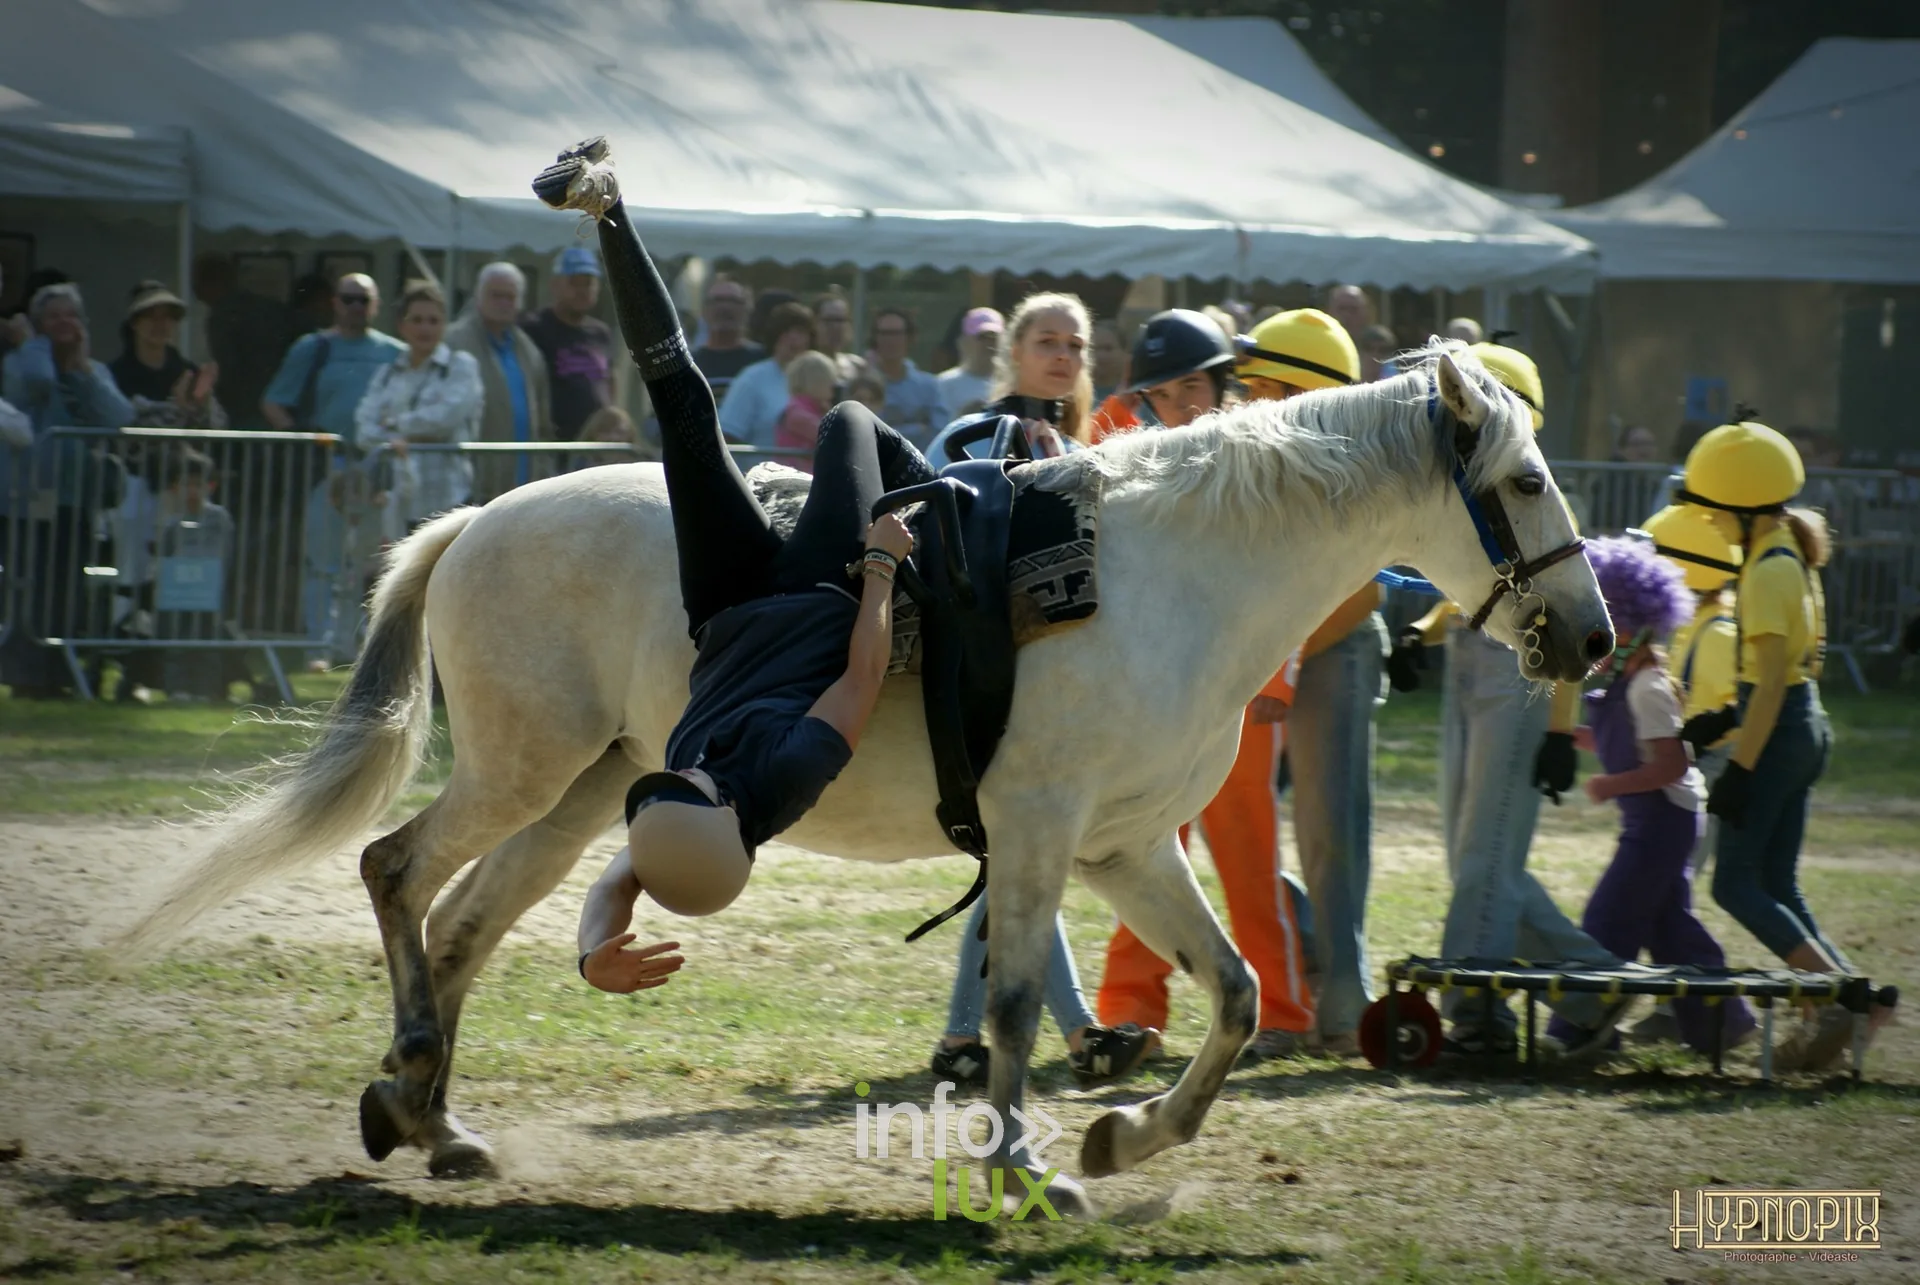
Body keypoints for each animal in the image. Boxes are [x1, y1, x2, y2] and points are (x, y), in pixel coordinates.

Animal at [121, 345, 1611, 1217]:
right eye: (1527, 480)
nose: (1594, 635)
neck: (1171, 575)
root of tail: (481, 512)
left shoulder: (1125, 845)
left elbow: (1238, 992)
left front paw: (1121, 1140)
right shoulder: (1040, 831)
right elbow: (1009, 1004)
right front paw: (1025, 1167)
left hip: (586, 789)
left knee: (463, 922)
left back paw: (431, 1120)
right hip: (522, 767)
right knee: (397, 872)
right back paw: (416, 1087)